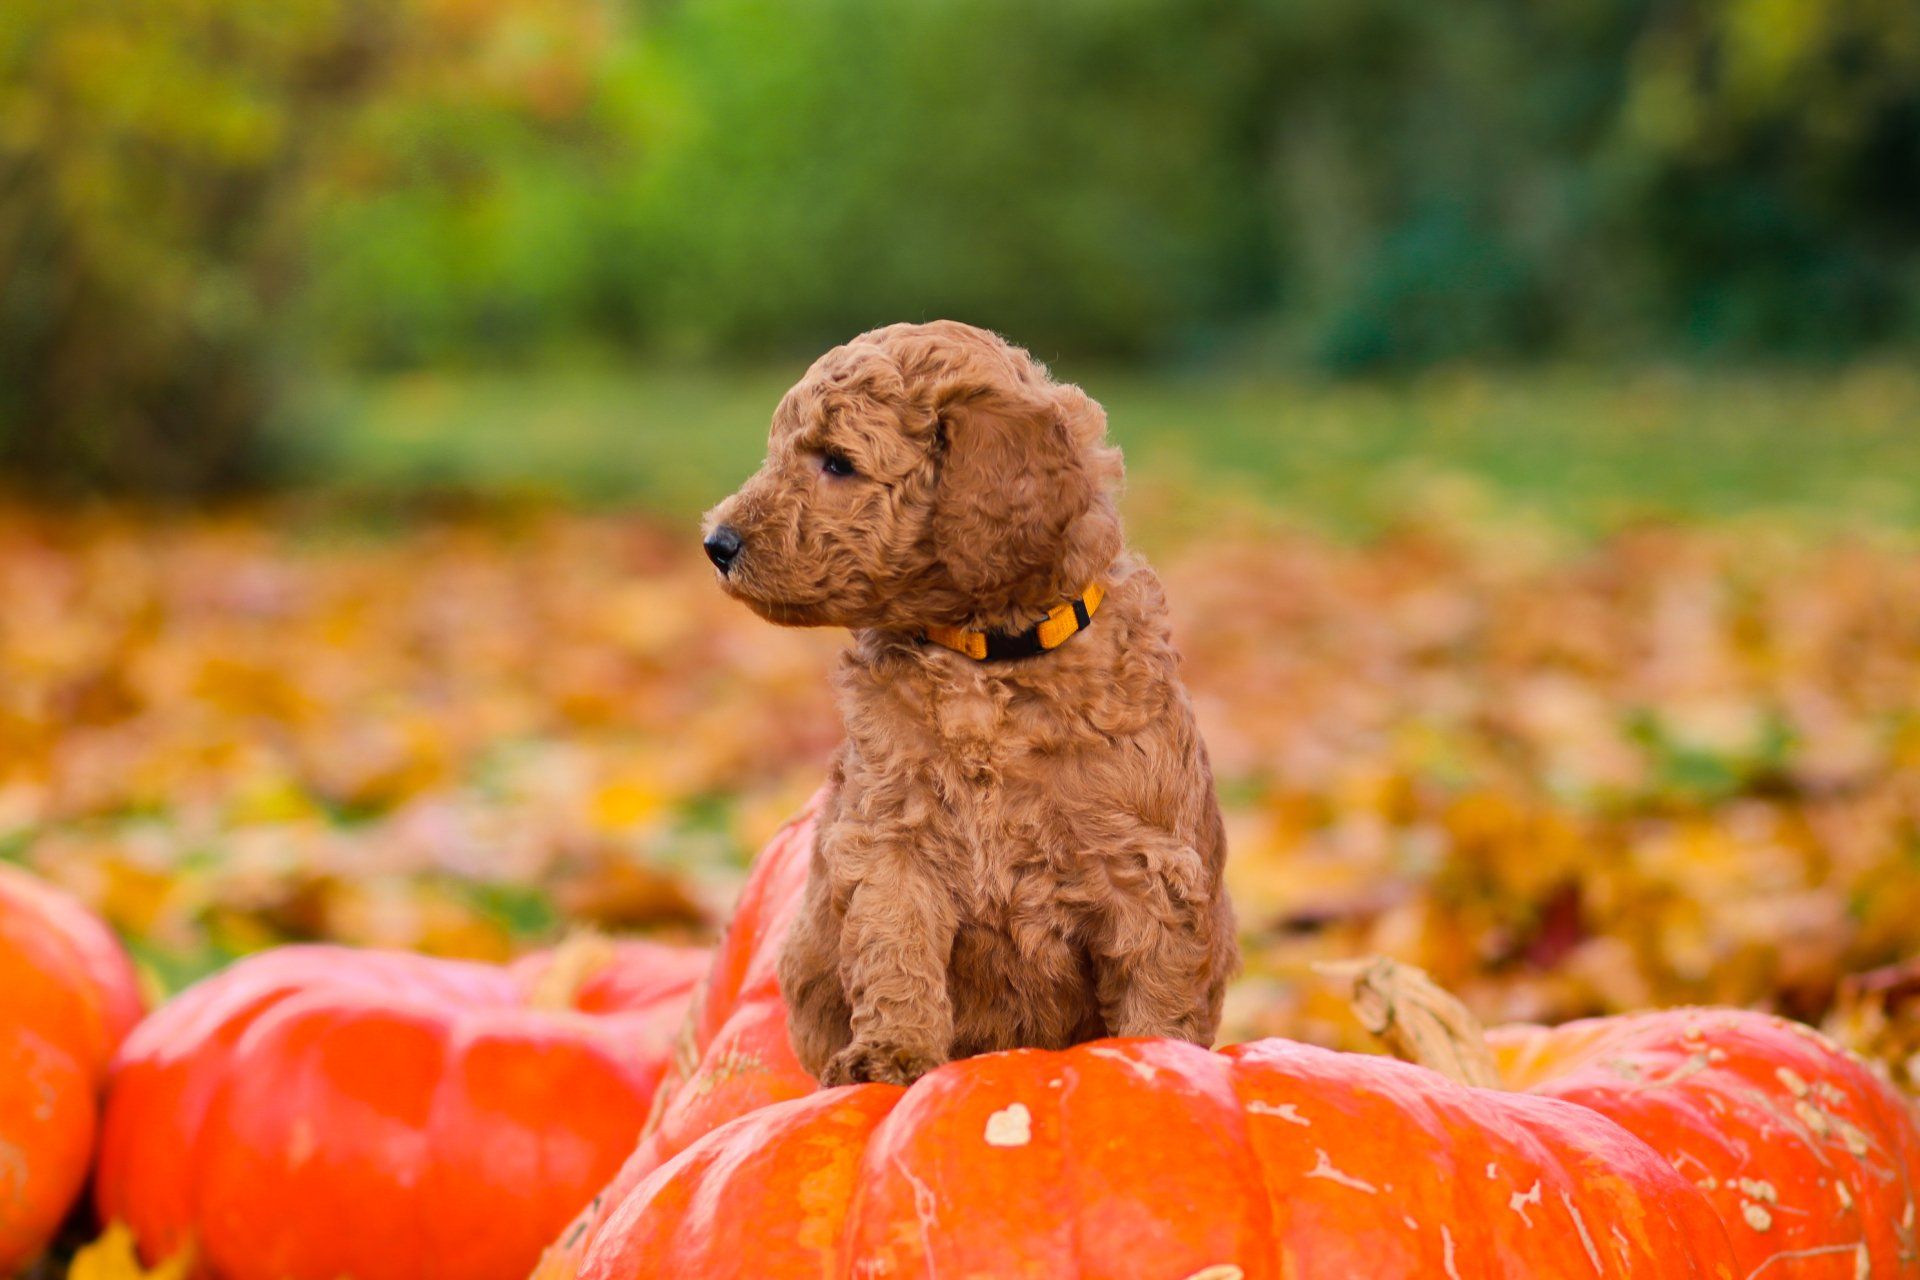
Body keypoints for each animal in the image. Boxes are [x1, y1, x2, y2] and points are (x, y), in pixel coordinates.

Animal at [702, 318, 1228, 1082]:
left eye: (837, 463)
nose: (715, 542)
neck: (986, 659)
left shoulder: (1145, 867)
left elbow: (1156, 988)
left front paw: (1156, 1057)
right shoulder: (891, 836)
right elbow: (895, 950)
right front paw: (891, 1053)